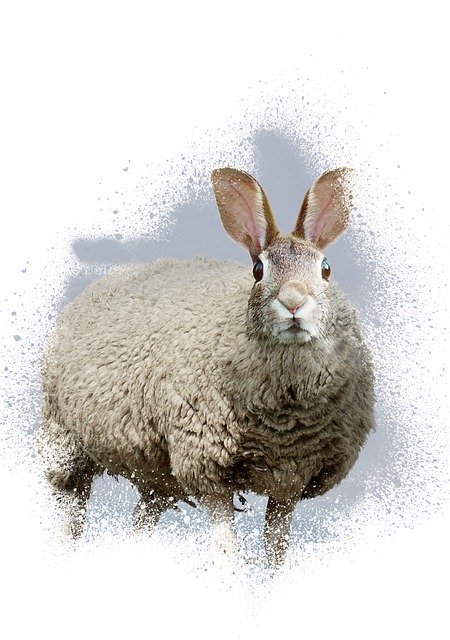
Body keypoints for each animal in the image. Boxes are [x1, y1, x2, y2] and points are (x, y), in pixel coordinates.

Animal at [38, 167, 374, 567]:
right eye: (258, 269)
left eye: (325, 269)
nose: (293, 303)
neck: (284, 419)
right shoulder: (205, 464)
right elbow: (227, 549)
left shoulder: (292, 478)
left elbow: (276, 549)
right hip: (64, 439)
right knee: (70, 506)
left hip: (156, 471)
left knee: (142, 516)